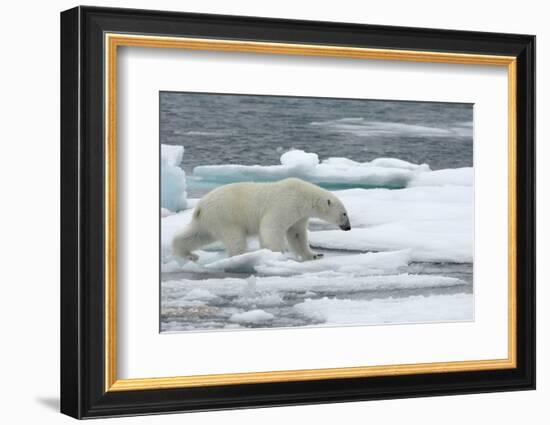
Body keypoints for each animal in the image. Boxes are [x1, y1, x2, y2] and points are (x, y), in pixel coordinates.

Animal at [174, 176, 354, 262]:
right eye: (344, 213)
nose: (348, 227)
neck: (304, 196)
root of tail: (200, 206)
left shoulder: (299, 215)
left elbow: (297, 234)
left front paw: (315, 255)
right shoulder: (286, 203)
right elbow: (271, 227)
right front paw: (278, 253)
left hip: (209, 220)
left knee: (195, 235)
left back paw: (188, 254)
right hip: (226, 216)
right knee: (235, 239)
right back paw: (240, 257)